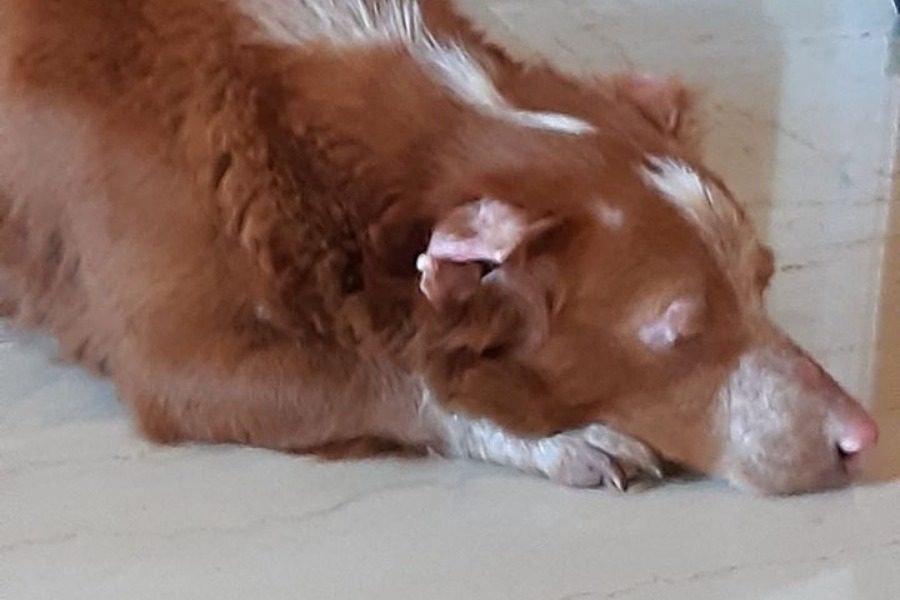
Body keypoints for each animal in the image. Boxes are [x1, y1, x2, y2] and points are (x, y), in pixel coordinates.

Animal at [0, 0, 878, 494]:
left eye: (764, 282)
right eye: (680, 331)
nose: (865, 439)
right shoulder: (179, 361)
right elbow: (392, 381)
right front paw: (559, 439)